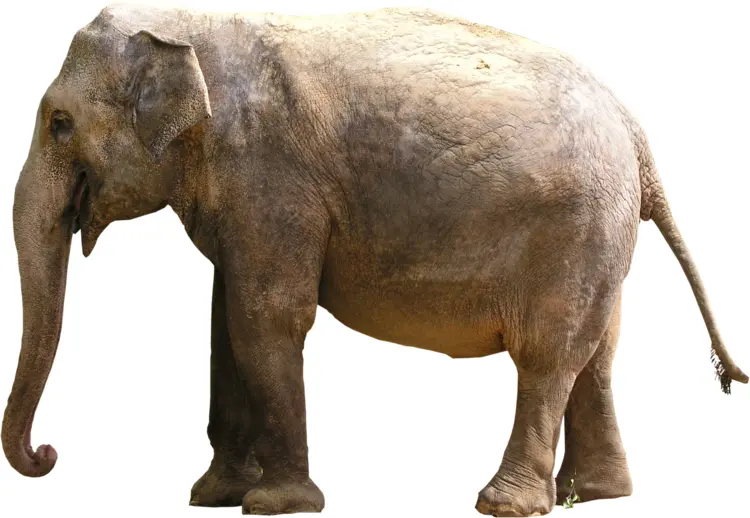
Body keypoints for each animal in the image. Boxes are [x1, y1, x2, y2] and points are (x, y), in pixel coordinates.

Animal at [3, 4, 747, 517]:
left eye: (59, 124)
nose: (49, 453)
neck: (194, 26)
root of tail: (637, 135)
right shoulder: (246, 202)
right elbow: (226, 322)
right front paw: (211, 496)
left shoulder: (272, 177)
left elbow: (266, 318)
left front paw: (274, 505)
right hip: (600, 238)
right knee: (598, 354)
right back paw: (591, 495)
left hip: (574, 230)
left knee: (548, 355)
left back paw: (505, 505)